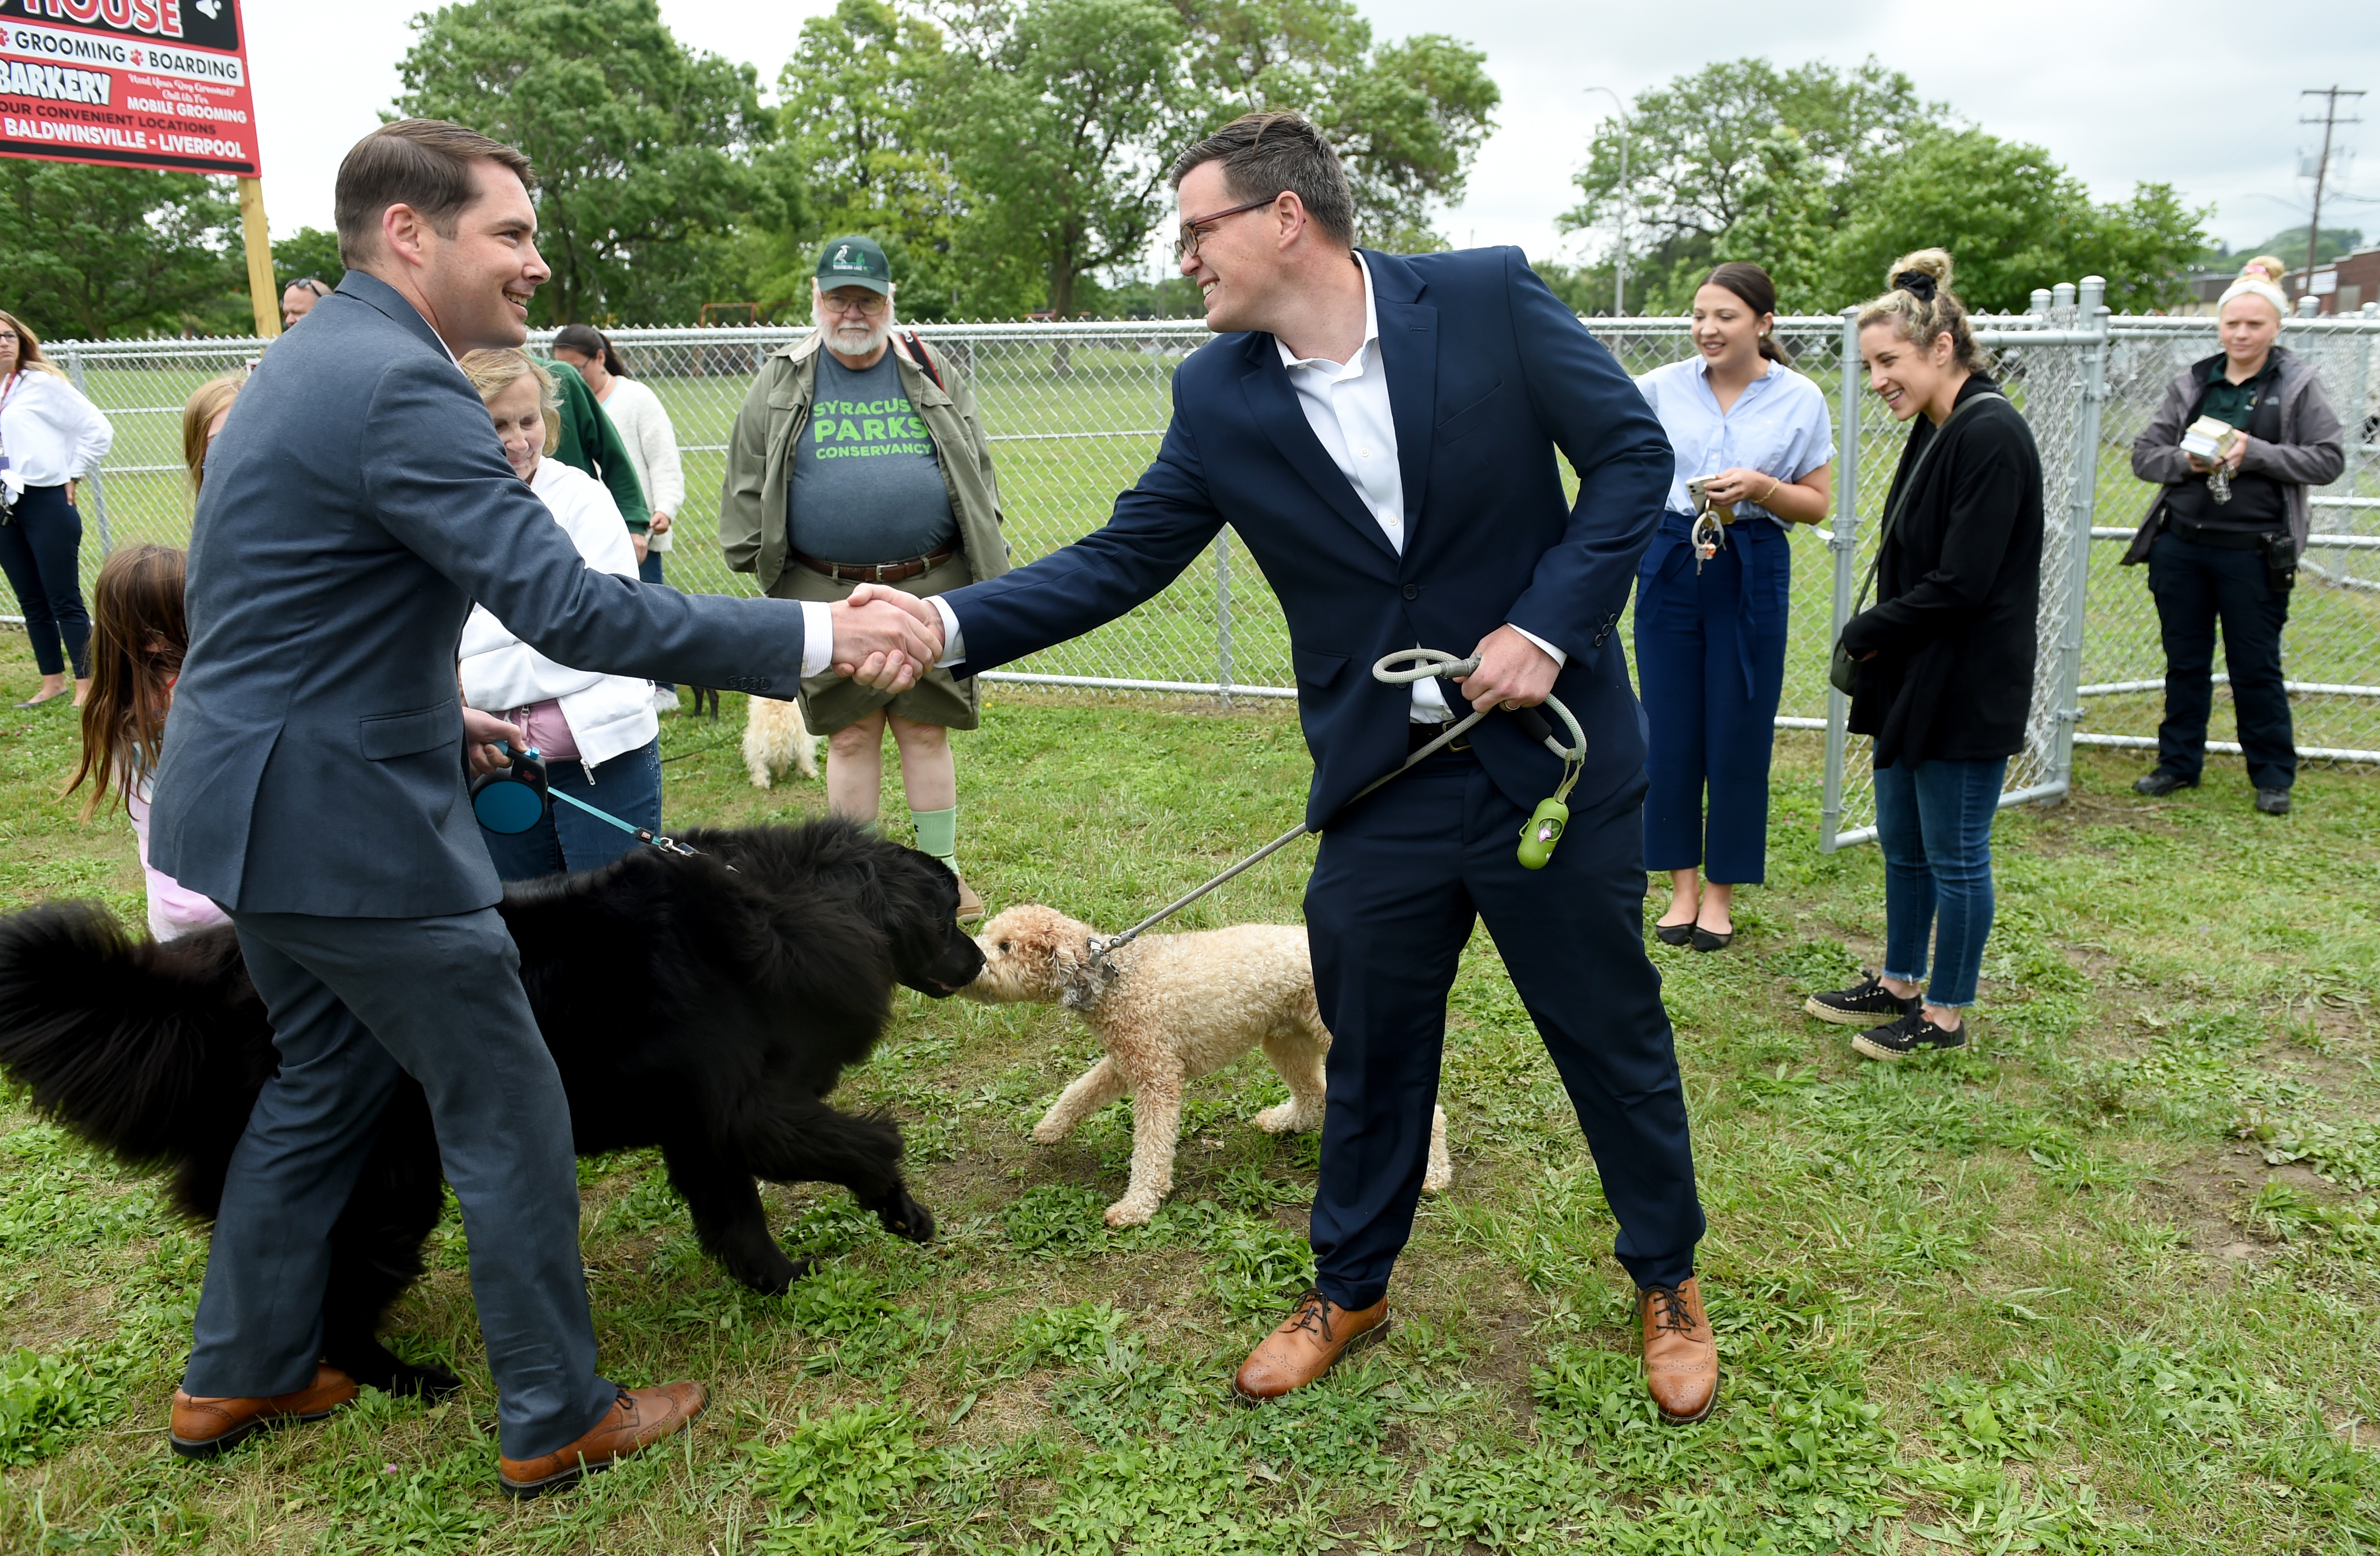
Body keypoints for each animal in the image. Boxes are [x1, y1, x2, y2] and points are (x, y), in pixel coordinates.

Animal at [0, 823, 975, 1408]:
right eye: (948, 914)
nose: (976, 960)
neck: (794, 903)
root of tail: (204, 996)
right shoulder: (748, 1109)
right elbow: (855, 1143)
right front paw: (899, 1207)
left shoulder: (703, 1125)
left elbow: (736, 1215)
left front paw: (776, 1278)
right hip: (386, 1187)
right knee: (338, 1297)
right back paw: (402, 1379)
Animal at [742, 699, 818, 794]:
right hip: (802, 740)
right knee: (805, 760)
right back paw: (811, 773)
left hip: (756, 745)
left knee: (759, 766)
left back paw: (762, 784)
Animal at [966, 904, 1447, 1228]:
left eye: (1006, 946)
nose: (974, 964)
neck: (1115, 979)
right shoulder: (1129, 1062)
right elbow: (1079, 1090)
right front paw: (1050, 1128)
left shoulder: (1157, 1079)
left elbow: (1151, 1150)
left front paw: (1137, 1206)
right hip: (1285, 1039)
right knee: (1314, 1095)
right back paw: (1283, 1122)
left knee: (1430, 1111)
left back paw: (1434, 1175)